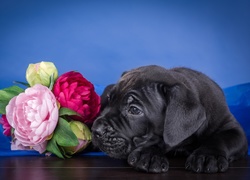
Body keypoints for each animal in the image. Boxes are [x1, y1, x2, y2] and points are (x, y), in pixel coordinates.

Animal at [92, 65, 248, 174]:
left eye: (134, 110)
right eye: (110, 99)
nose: (95, 130)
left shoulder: (233, 129)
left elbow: (221, 138)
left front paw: (208, 155)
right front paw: (149, 154)